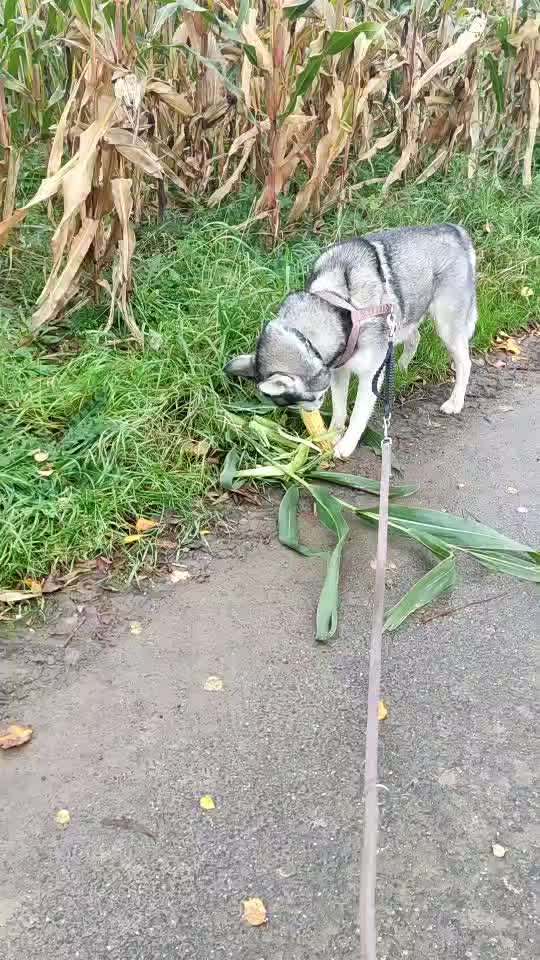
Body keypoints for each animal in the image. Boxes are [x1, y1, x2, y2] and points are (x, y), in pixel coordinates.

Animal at [226, 229, 474, 462]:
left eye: (310, 400)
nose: (311, 412)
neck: (340, 306)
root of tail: (455, 230)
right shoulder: (339, 371)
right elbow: (339, 408)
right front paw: (333, 434)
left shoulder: (370, 376)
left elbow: (357, 415)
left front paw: (345, 444)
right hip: (403, 320)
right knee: (415, 338)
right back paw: (402, 369)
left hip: (446, 326)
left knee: (465, 363)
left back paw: (455, 401)